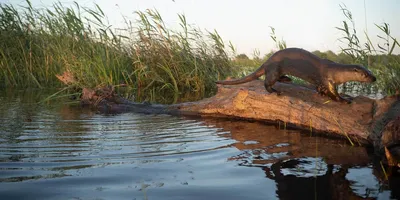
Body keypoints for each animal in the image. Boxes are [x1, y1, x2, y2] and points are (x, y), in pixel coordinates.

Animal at [216, 47, 376, 103]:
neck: (336, 71)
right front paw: (344, 100)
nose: (374, 78)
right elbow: (333, 93)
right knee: (266, 83)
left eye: (371, 72)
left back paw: (287, 79)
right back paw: (275, 91)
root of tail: (267, 61)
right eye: (366, 74)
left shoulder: (322, 81)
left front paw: (322, 93)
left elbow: (320, 88)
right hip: (274, 69)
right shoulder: (328, 79)